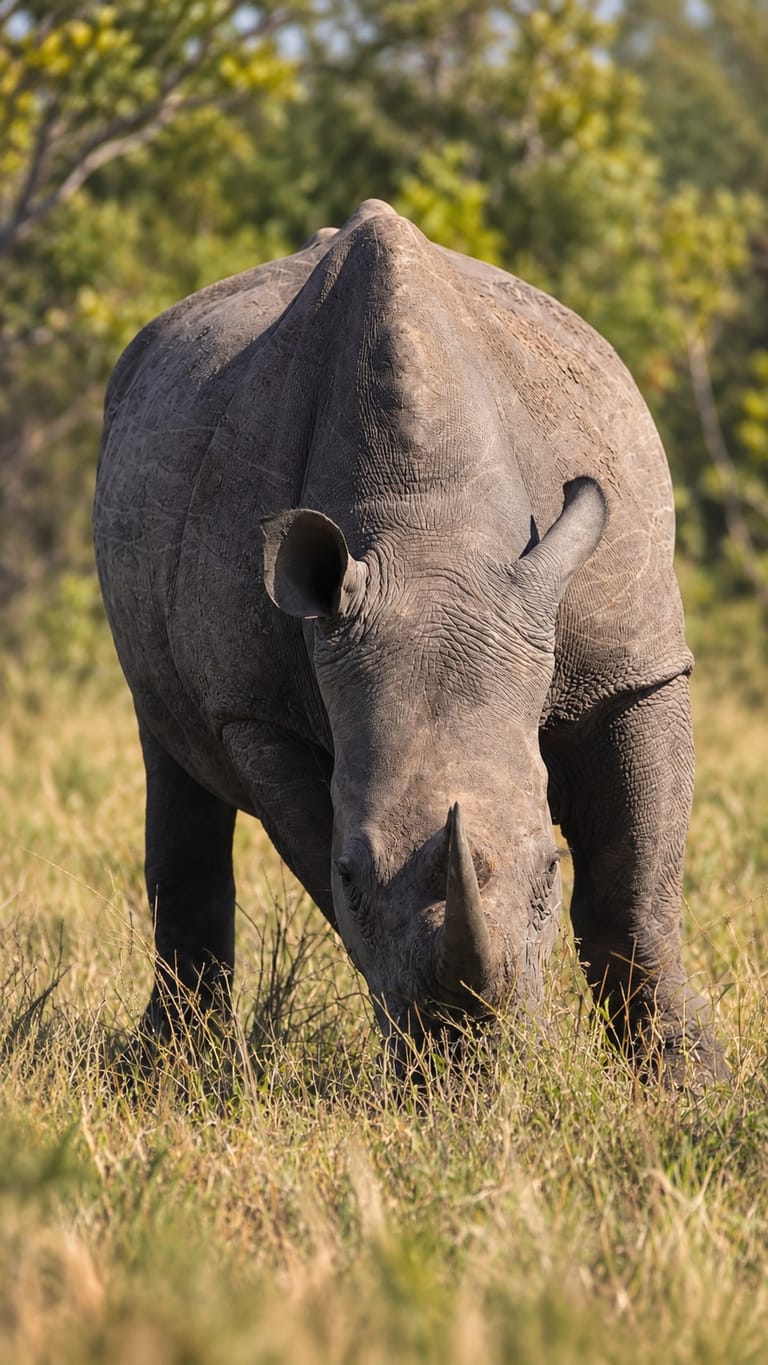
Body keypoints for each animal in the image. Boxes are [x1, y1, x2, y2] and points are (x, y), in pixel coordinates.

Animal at [94, 198, 723, 1083]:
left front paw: (690, 1081)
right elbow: (320, 854)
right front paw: (424, 1073)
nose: (473, 1057)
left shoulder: (634, 668)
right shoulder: (257, 708)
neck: (430, 528)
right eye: (353, 873)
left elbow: (636, 878)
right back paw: (172, 1072)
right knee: (171, 758)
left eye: (549, 870)